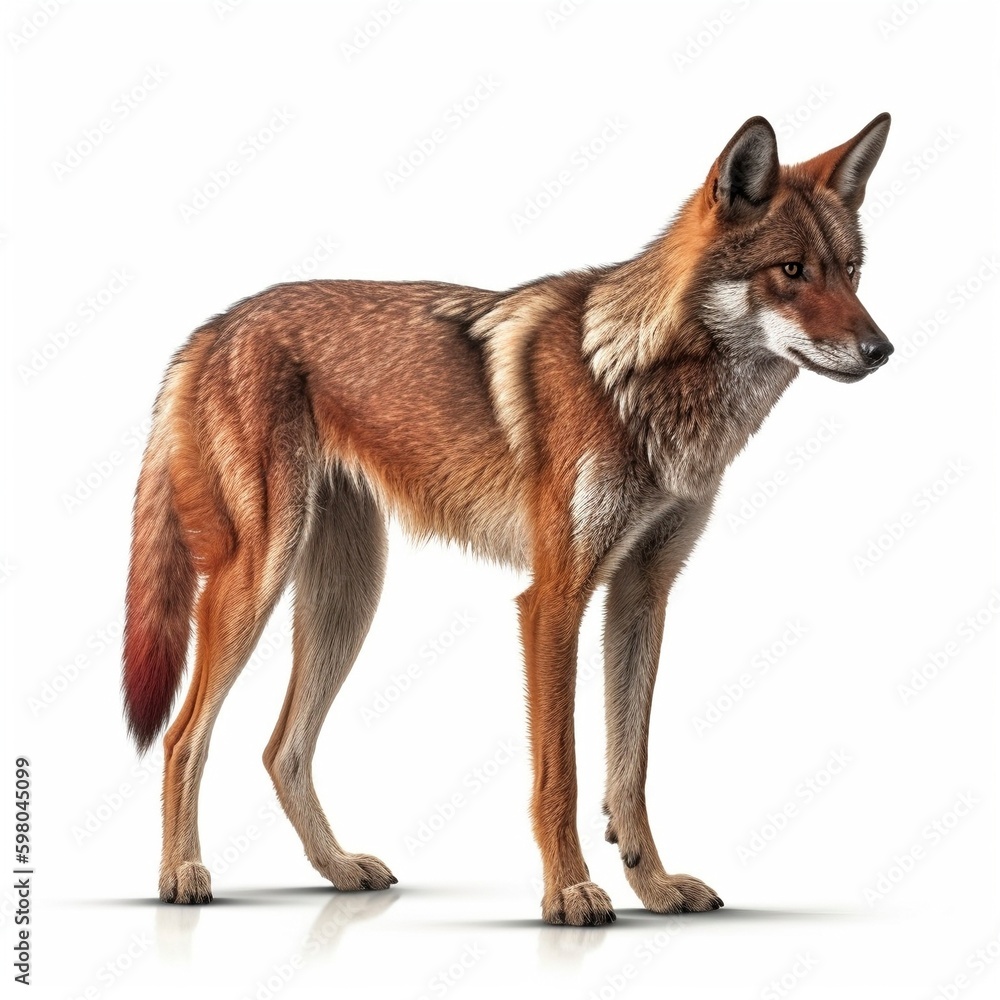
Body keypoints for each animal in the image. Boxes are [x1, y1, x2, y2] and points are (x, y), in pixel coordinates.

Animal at [122, 112, 893, 925]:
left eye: (851, 271)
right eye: (792, 271)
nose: (881, 349)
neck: (637, 381)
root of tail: (215, 326)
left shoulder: (641, 594)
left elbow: (630, 771)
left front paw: (653, 886)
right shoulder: (552, 599)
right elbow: (564, 773)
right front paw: (571, 892)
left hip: (348, 598)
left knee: (282, 750)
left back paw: (338, 868)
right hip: (258, 583)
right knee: (183, 736)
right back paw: (182, 875)